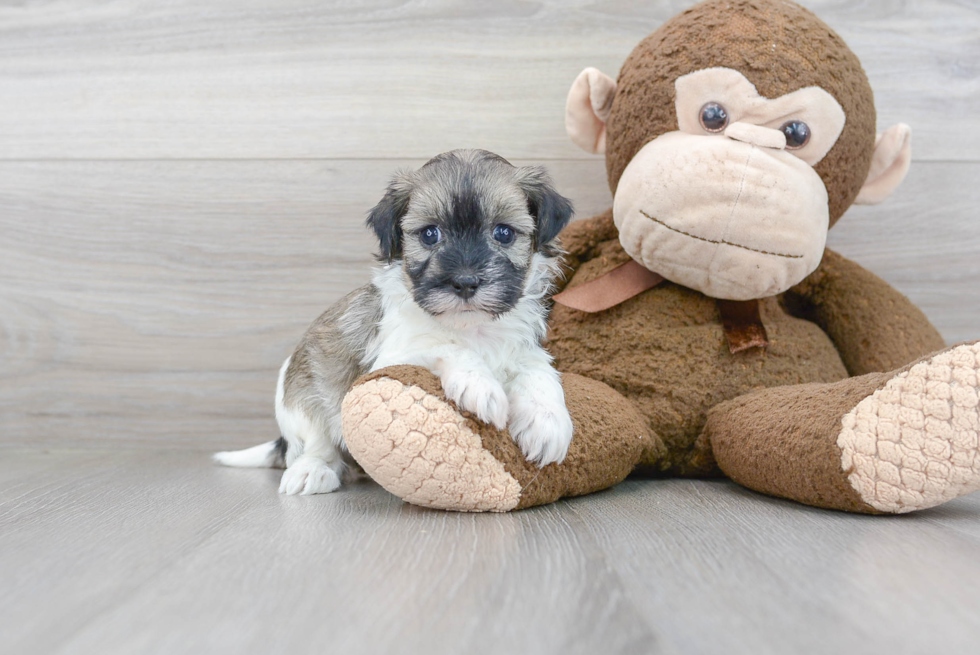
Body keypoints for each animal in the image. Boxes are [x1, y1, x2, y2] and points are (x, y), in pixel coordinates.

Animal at [214, 150, 576, 498]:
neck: (470, 328)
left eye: (503, 232)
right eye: (430, 234)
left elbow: (539, 373)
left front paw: (548, 422)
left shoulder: (523, 349)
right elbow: (446, 346)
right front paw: (480, 385)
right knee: (315, 441)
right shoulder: (392, 357)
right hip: (299, 391)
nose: (465, 282)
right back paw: (312, 471)